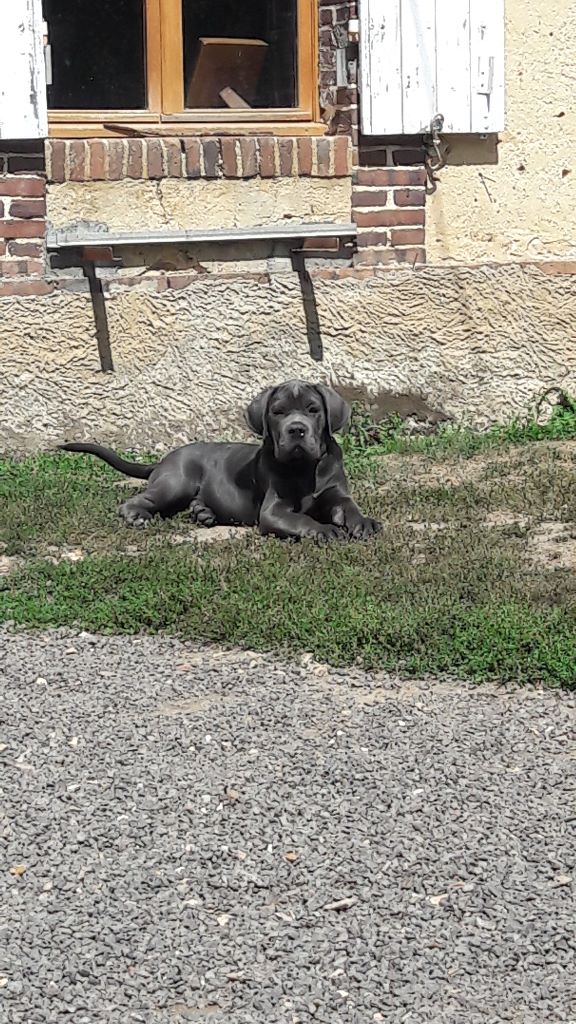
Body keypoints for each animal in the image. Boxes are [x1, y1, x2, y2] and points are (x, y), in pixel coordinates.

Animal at [59, 382, 381, 544]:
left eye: (313, 410)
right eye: (278, 412)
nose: (297, 430)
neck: (304, 469)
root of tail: (165, 459)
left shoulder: (336, 493)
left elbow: (350, 507)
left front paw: (363, 522)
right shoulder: (274, 511)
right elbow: (301, 519)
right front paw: (323, 530)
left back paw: (204, 513)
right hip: (176, 483)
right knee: (138, 500)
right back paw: (137, 515)